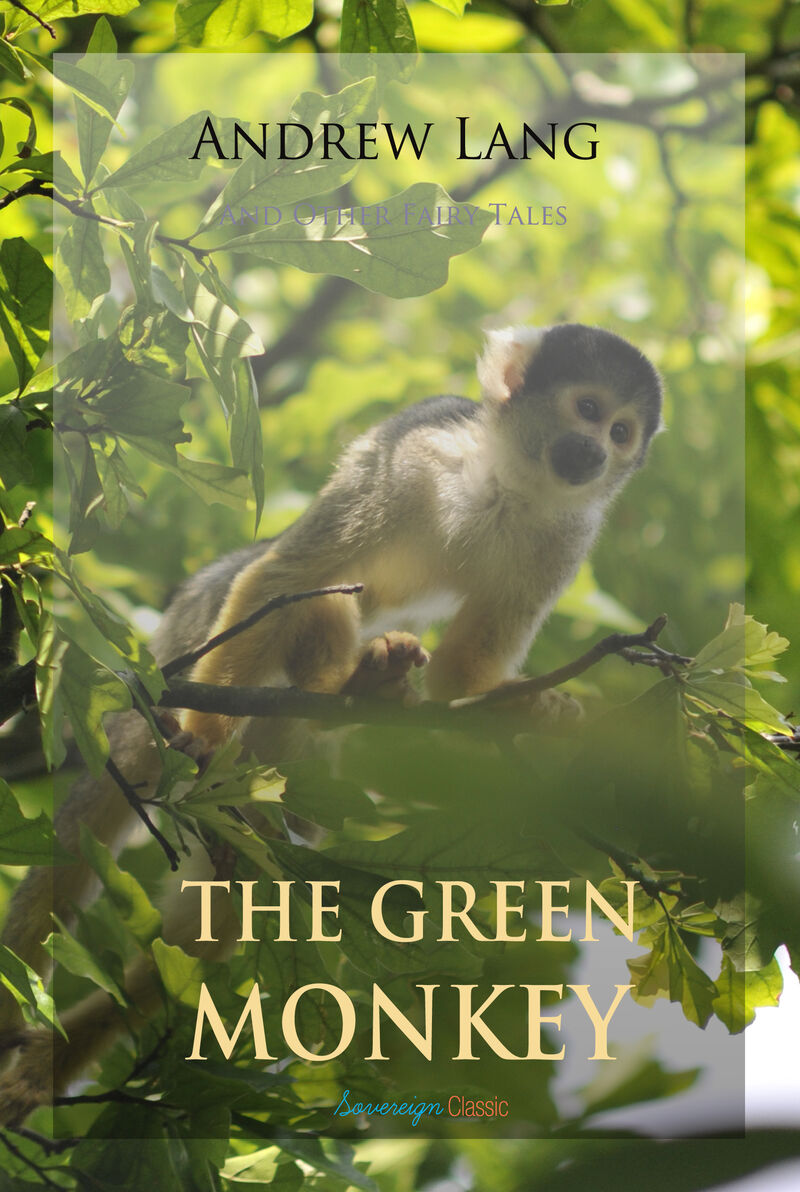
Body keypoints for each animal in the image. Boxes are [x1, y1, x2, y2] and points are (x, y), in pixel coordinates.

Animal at [0, 321, 662, 1122]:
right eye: (588, 408)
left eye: (622, 432)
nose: (597, 451)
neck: (505, 482)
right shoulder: (407, 458)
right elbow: (287, 576)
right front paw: (210, 736)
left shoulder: (565, 534)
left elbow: (459, 677)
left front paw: (532, 704)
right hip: (177, 669)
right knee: (292, 592)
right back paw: (320, 689)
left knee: (243, 897)